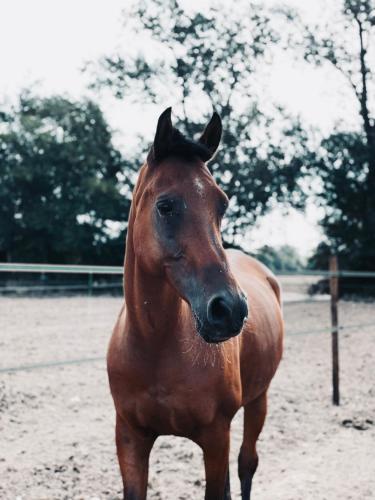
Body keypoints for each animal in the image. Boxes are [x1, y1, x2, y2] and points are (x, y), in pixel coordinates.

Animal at [107, 109, 284, 500]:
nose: (229, 309)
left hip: (258, 401)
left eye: (222, 204)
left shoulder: (215, 437)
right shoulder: (130, 438)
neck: (156, 346)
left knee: (247, 465)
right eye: (166, 205)